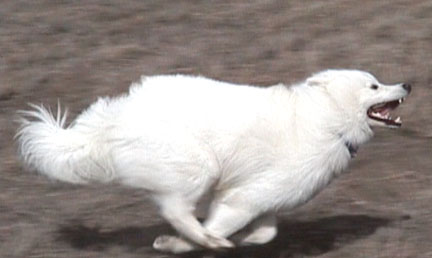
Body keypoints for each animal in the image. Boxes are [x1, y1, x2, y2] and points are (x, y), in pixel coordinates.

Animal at [16, 69, 412, 253]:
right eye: (375, 86)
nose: (407, 84)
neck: (328, 119)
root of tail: (116, 117)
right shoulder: (244, 199)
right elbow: (221, 226)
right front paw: (186, 244)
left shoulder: (261, 196)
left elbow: (266, 232)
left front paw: (245, 240)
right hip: (199, 165)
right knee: (176, 210)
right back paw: (203, 241)